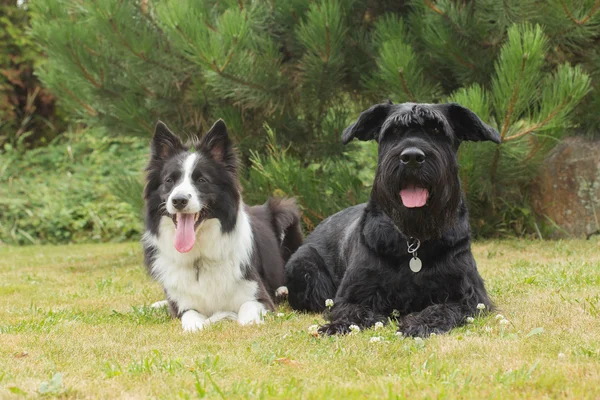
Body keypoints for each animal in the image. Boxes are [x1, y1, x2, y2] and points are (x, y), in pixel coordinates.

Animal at [142, 120, 302, 332]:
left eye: (201, 180)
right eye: (169, 181)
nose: (179, 200)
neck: (199, 258)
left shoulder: (258, 296)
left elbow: (247, 315)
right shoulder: (182, 307)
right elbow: (192, 321)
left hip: (285, 211)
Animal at [284, 101, 500, 336]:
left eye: (436, 129)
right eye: (394, 131)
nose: (412, 157)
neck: (413, 239)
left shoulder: (470, 297)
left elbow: (442, 308)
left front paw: (419, 323)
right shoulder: (352, 294)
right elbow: (352, 311)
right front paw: (336, 326)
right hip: (304, 269)